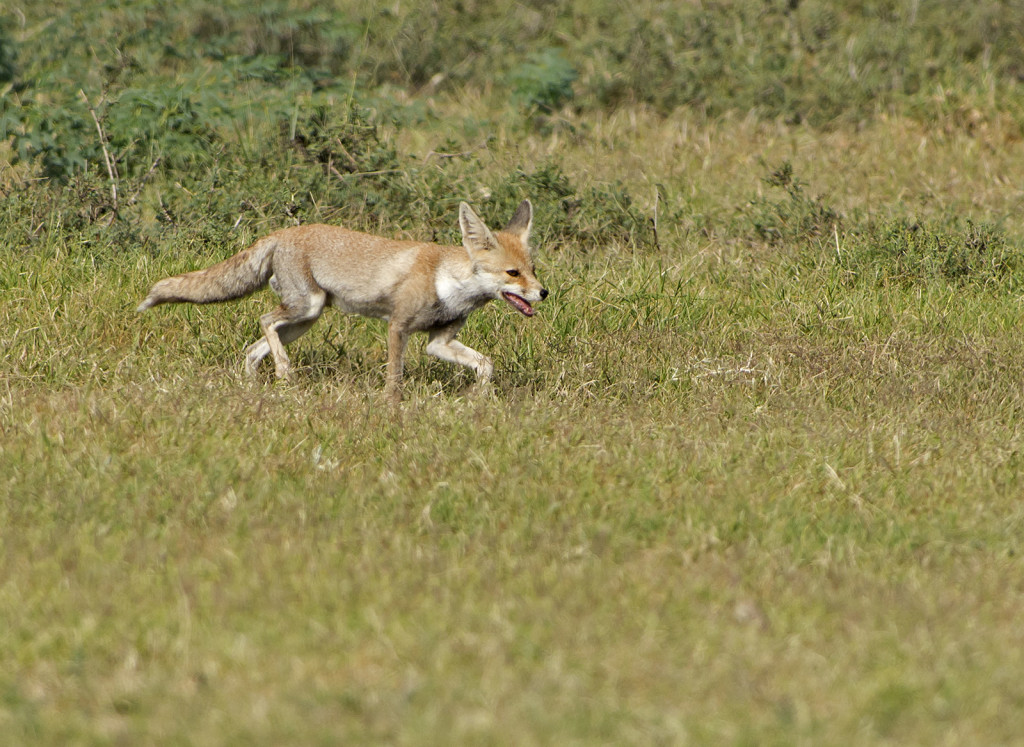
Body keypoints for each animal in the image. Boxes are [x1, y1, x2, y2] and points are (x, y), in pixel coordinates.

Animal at [142, 196, 552, 395]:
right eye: (512, 274)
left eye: (533, 268)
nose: (544, 292)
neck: (448, 283)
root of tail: (281, 233)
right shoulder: (398, 328)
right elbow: (394, 379)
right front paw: (391, 409)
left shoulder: (439, 341)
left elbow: (486, 365)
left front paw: (479, 401)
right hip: (305, 307)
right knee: (264, 321)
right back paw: (284, 372)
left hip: (305, 320)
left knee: (252, 348)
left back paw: (258, 388)